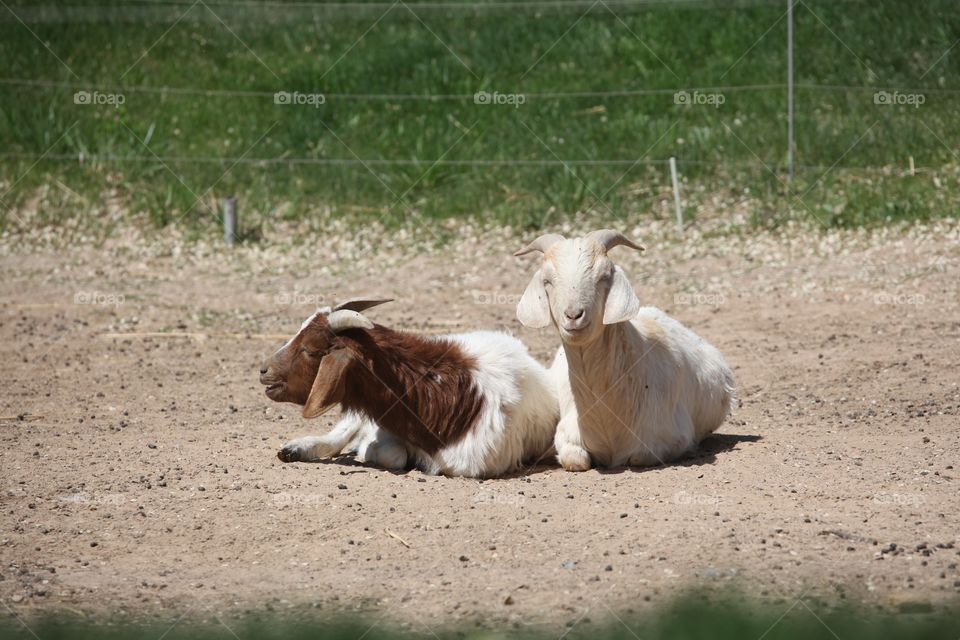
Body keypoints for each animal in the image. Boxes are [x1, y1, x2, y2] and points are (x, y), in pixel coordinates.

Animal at [513, 229, 736, 471]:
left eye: (603, 276)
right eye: (547, 281)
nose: (573, 315)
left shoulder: (671, 438)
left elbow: (639, 457)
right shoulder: (567, 435)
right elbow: (576, 460)